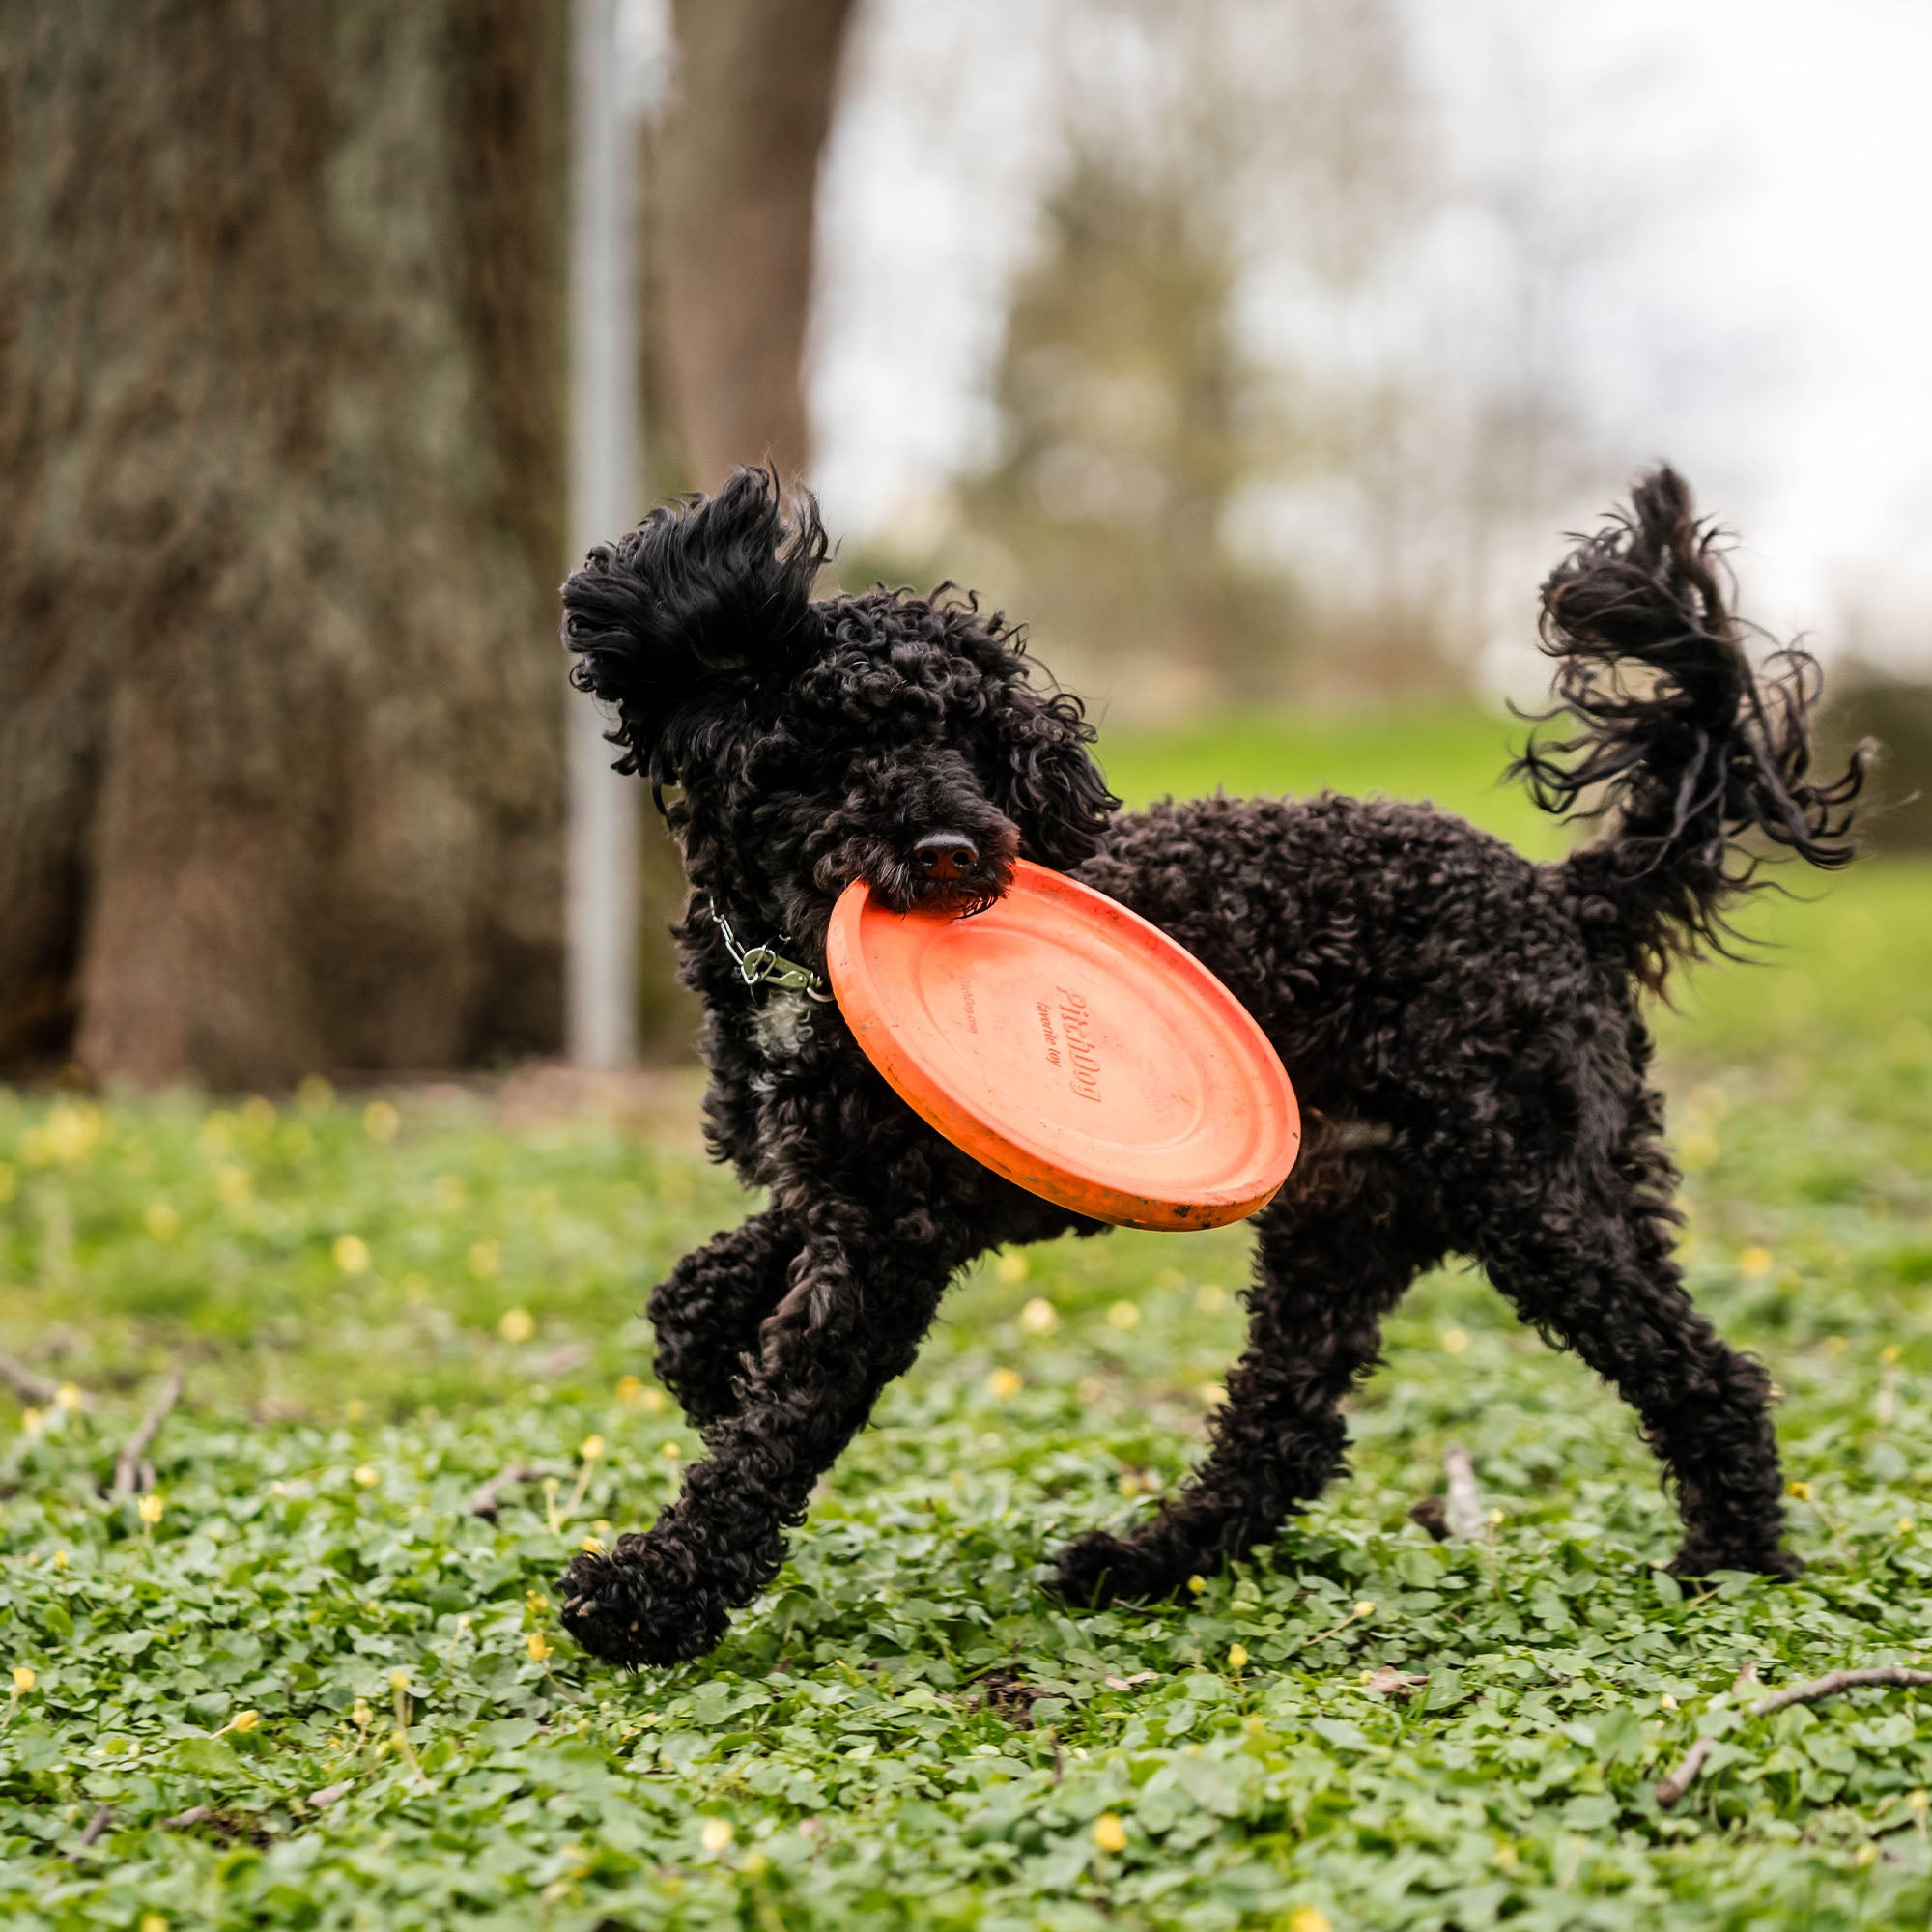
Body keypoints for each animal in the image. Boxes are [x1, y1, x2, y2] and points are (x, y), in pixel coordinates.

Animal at [553, 464, 1862, 1662]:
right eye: (831, 741)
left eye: (974, 741)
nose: (953, 848)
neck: (792, 962)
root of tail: (1566, 895)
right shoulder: (857, 1181)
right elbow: (697, 1290)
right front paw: (710, 1359)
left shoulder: (889, 1237)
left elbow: (778, 1434)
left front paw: (651, 1590)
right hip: (1352, 1217)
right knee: (1287, 1427)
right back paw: (1145, 1561)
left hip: (1537, 1196)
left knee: (1701, 1372)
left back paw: (1729, 1560)